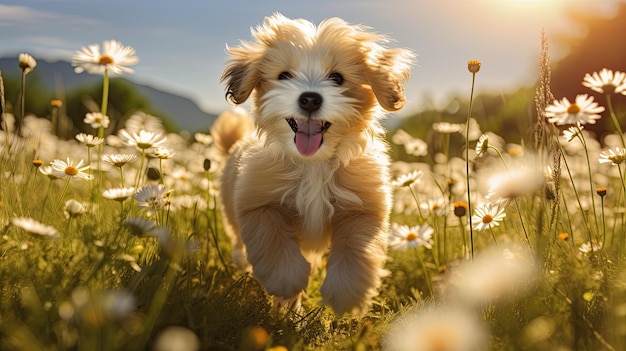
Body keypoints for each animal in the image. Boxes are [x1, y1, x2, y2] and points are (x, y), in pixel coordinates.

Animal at [212, 13, 412, 316]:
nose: (309, 98)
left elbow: (356, 248)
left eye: (337, 78)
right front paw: (286, 280)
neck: (314, 165)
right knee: (239, 241)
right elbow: (273, 241)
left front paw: (346, 293)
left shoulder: (363, 209)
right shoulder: (259, 204)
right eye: (284, 76)